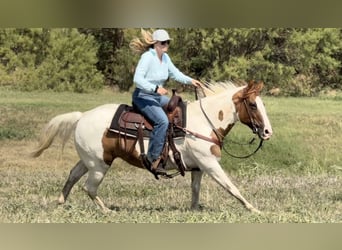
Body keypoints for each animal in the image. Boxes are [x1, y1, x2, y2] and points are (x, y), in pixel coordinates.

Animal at [31, 79, 272, 213]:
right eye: (252, 105)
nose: (268, 132)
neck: (204, 122)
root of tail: (82, 116)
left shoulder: (198, 167)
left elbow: (195, 190)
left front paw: (194, 211)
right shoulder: (210, 164)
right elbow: (231, 187)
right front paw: (254, 209)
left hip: (90, 160)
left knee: (73, 175)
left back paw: (60, 202)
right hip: (100, 165)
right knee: (89, 187)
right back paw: (108, 211)